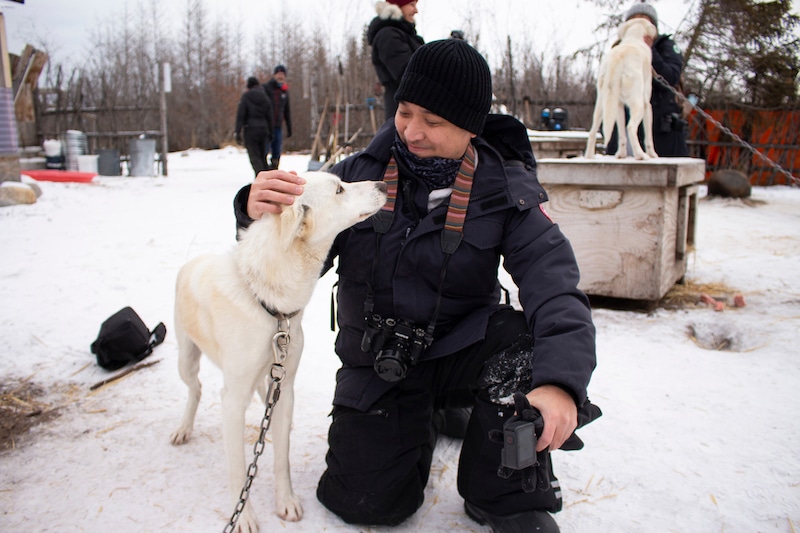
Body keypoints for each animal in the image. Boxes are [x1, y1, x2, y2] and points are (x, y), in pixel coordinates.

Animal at [171, 172, 388, 528]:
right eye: (339, 189)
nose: (383, 185)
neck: (267, 303)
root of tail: (193, 260)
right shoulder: (233, 400)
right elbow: (238, 469)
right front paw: (243, 517)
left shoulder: (284, 384)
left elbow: (280, 456)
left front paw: (285, 501)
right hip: (186, 359)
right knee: (196, 389)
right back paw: (184, 428)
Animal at [584, 18, 660, 160]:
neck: (634, 37)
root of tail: (617, 59)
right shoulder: (648, 105)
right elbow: (649, 137)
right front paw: (652, 154)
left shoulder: (618, 105)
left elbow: (621, 135)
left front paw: (621, 154)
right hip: (638, 104)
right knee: (630, 127)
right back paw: (641, 155)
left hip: (603, 105)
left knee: (592, 132)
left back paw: (589, 157)